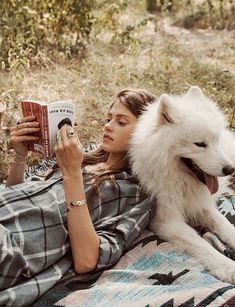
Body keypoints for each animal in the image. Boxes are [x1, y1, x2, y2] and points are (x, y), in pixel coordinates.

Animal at [129, 86, 235, 284]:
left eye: (217, 140)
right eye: (200, 144)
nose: (230, 169)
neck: (180, 179)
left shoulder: (200, 205)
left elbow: (226, 226)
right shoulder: (167, 221)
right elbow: (201, 244)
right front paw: (229, 267)